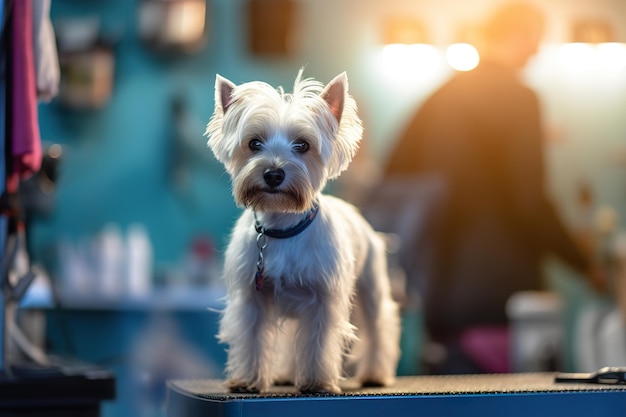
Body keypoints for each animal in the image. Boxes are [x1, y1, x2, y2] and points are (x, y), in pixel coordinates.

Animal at [205, 70, 400, 392]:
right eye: (254, 143)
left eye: (303, 145)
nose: (273, 174)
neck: (282, 226)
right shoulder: (251, 299)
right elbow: (252, 339)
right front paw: (247, 379)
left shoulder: (322, 299)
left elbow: (317, 344)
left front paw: (317, 381)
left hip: (370, 287)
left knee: (378, 327)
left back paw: (375, 374)